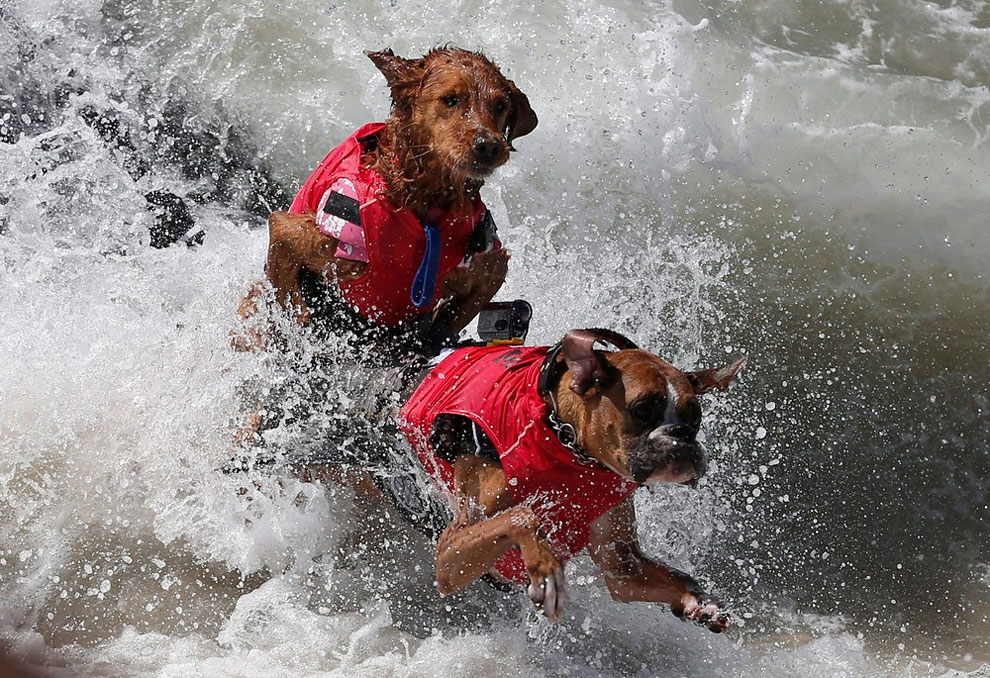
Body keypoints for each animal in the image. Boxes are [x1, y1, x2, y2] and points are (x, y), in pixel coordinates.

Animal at [235, 46, 540, 356]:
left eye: (500, 105)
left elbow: (451, 318)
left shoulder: (489, 268)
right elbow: (289, 296)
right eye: (451, 99)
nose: (488, 146)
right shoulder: (295, 234)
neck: (421, 199)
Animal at [400, 332, 748, 636]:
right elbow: (523, 516)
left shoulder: (624, 568)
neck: (564, 440)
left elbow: (670, 578)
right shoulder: (450, 553)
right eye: (643, 408)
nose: (681, 435)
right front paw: (545, 569)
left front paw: (699, 602)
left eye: (696, 418)